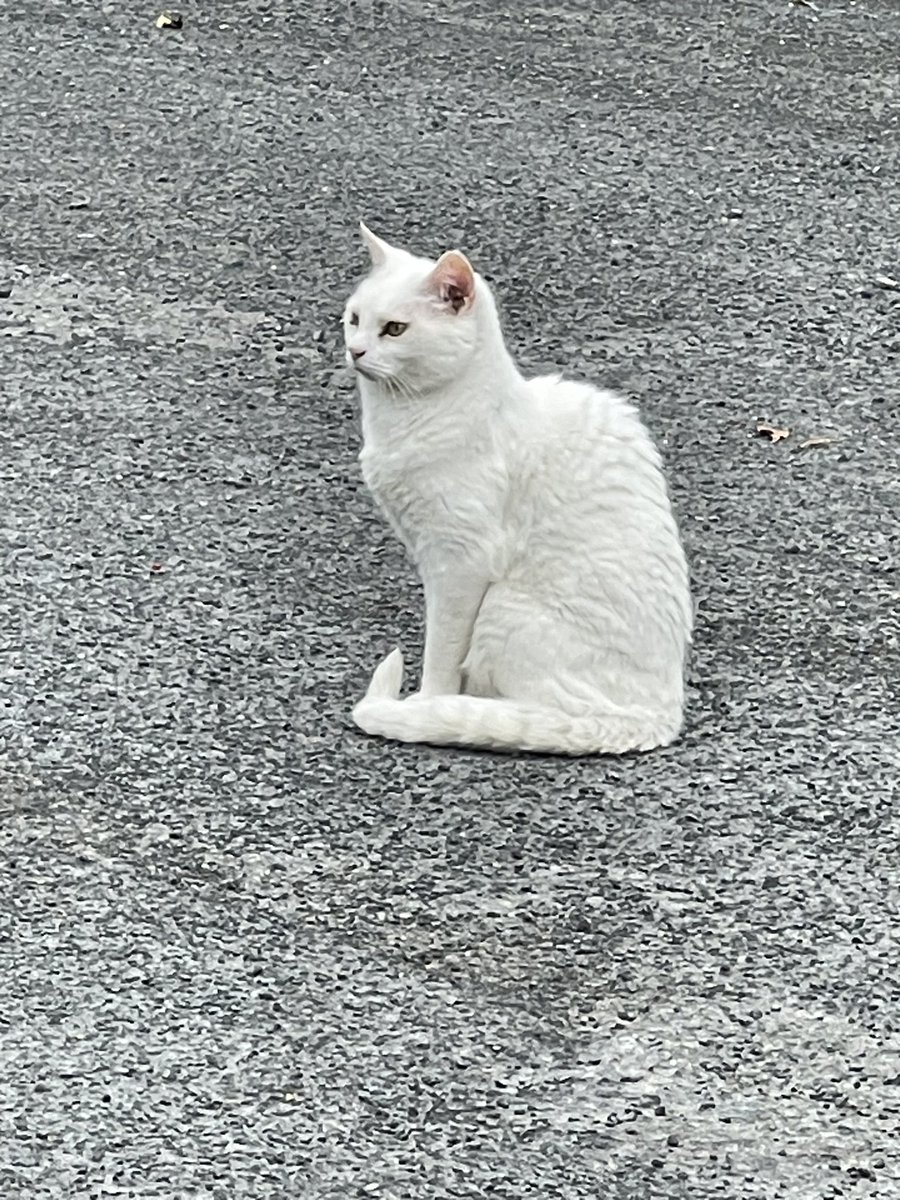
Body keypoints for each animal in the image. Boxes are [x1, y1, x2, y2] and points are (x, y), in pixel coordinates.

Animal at [340, 220, 696, 753]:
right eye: (354, 319)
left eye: (395, 329)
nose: (355, 350)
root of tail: (659, 718)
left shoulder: (458, 562)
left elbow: (442, 651)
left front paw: (429, 703)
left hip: (506, 608)